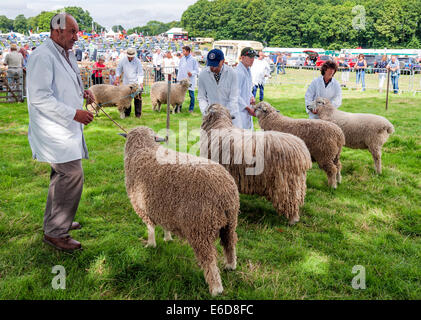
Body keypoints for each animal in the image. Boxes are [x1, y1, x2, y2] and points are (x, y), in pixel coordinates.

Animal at [121, 126, 240, 296]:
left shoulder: (142, 206)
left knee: (209, 260)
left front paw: (151, 244)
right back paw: (230, 266)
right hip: (230, 222)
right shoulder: (162, 207)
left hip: (199, 228)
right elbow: (164, 225)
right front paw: (168, 238)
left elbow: (150, 228)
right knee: (230, 244)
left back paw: (216, 289)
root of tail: (224, 192)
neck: (144, 148)